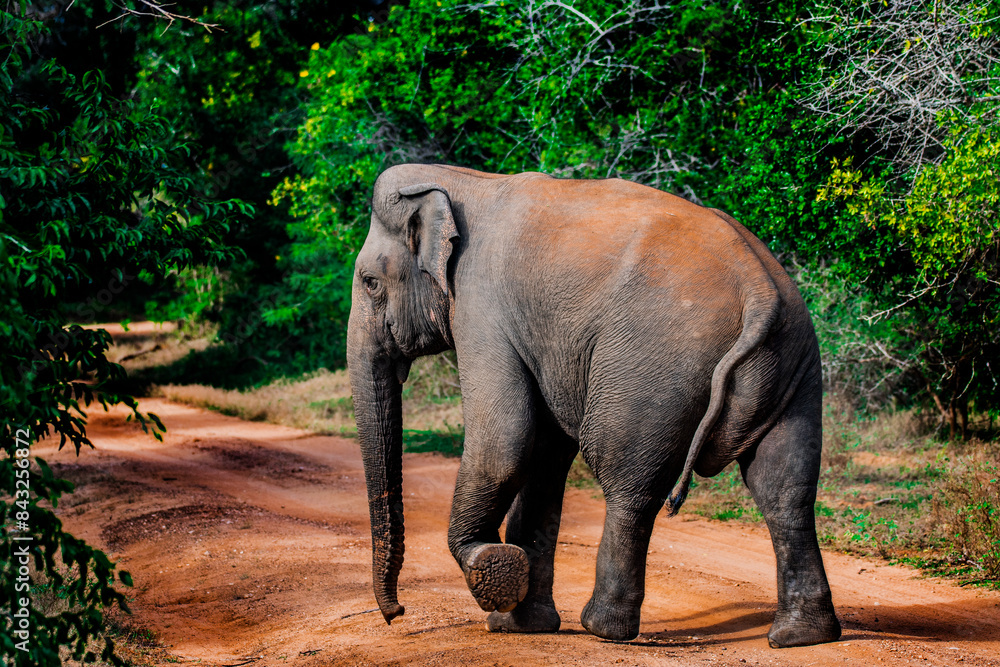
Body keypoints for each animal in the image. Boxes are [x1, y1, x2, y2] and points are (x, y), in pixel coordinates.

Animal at [347, 163, 842, 647]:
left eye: (370, 283)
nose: (396, 614)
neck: (459, 180)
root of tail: (760, 288)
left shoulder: (481, 309)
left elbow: (505, 442)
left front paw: (492, 568)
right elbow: (544, 454)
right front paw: (518, 624)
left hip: (653, 367)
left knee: (627, 480)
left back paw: (603, 628)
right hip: (795, 364)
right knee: (784, 487)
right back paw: (802, 636)